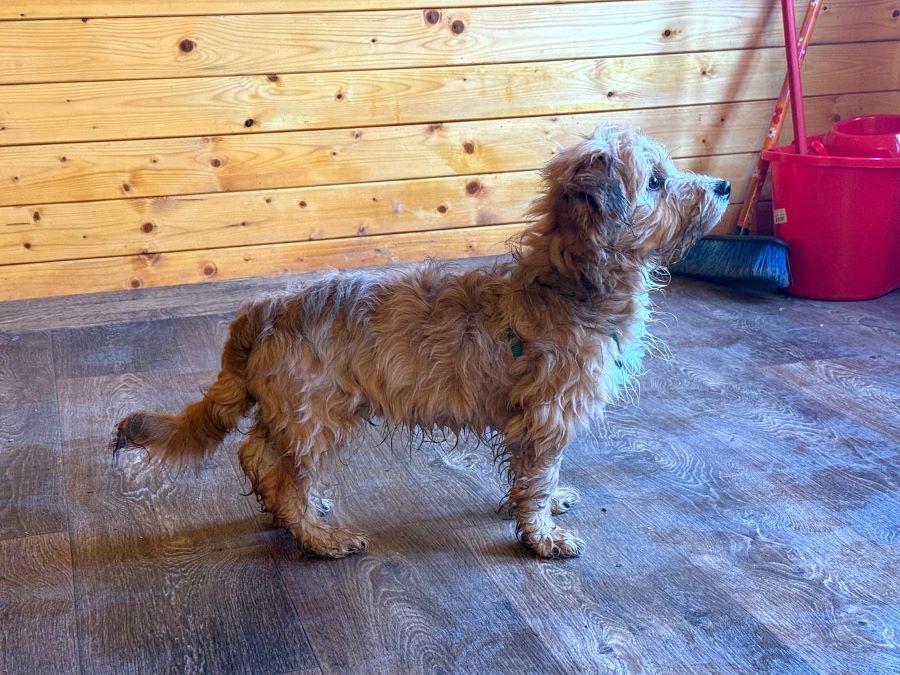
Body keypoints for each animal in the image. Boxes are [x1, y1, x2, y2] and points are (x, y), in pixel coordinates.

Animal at [114, 125, 730, 559]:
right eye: (656, 181)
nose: (723, 184)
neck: (569, 284)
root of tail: (264, 310)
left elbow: (540, 476)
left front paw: (551, 504)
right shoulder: (547, 416)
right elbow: (536, 478)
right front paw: (542, 535)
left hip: (295, 411)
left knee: (260, 456)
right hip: (317, 414)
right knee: (283, 473)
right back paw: (319, 537)